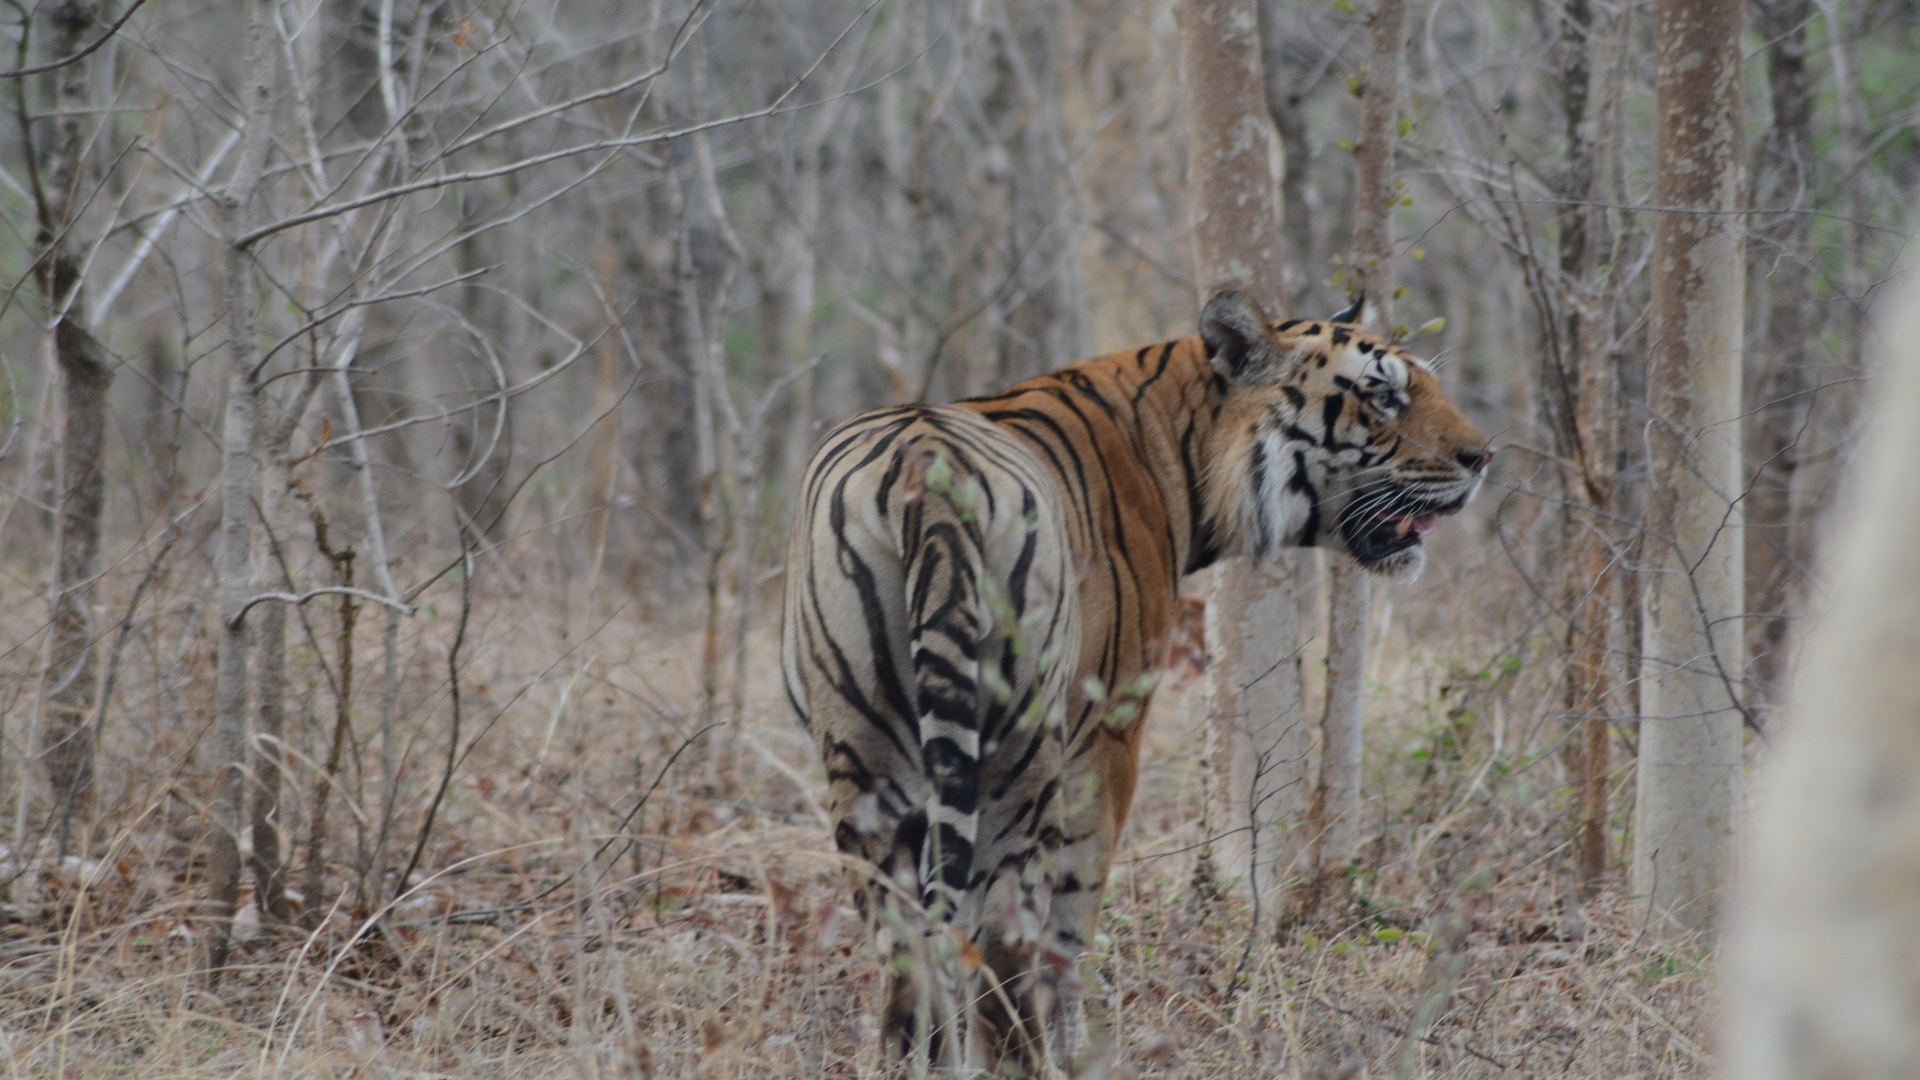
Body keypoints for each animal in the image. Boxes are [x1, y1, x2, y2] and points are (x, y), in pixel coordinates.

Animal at [775, 288, 1482, 1068]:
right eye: (1383, 395)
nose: (1483, 457)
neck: (1184, 446)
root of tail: (926, 465)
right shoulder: (1110, 738)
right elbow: (1073, 920)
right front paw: (1077, 1044)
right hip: (1018, 760)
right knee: (1004, 953)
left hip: (862, 764)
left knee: (907, 964)